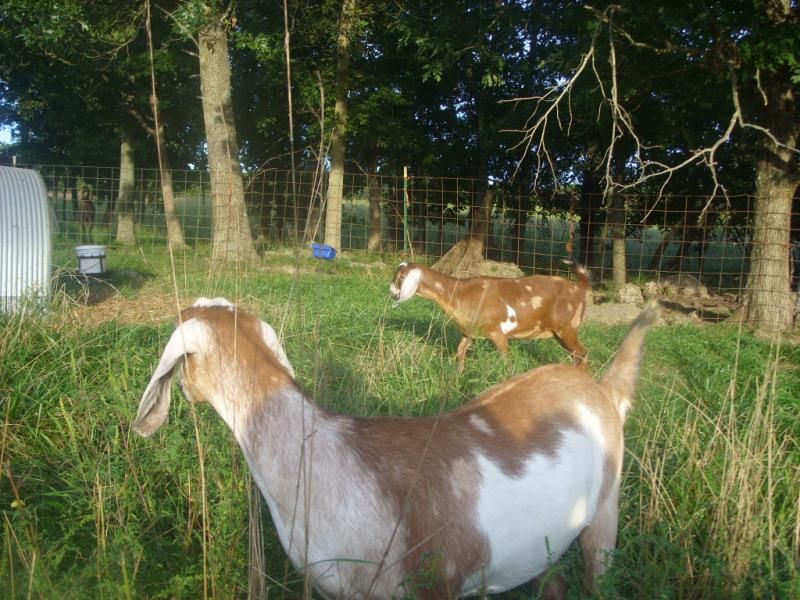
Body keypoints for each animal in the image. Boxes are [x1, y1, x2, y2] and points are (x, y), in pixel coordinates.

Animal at [390, 260, 591, 371]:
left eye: (400, 278)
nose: (390, 290)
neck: (459, 293)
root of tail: (579, 288)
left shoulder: (498, 334)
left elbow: (506, 361)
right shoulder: (469, 333)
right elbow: (460, 353)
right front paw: (457, 377)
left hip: (568, 328)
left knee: (582, 353)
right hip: (559, 334)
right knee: (578, 355)